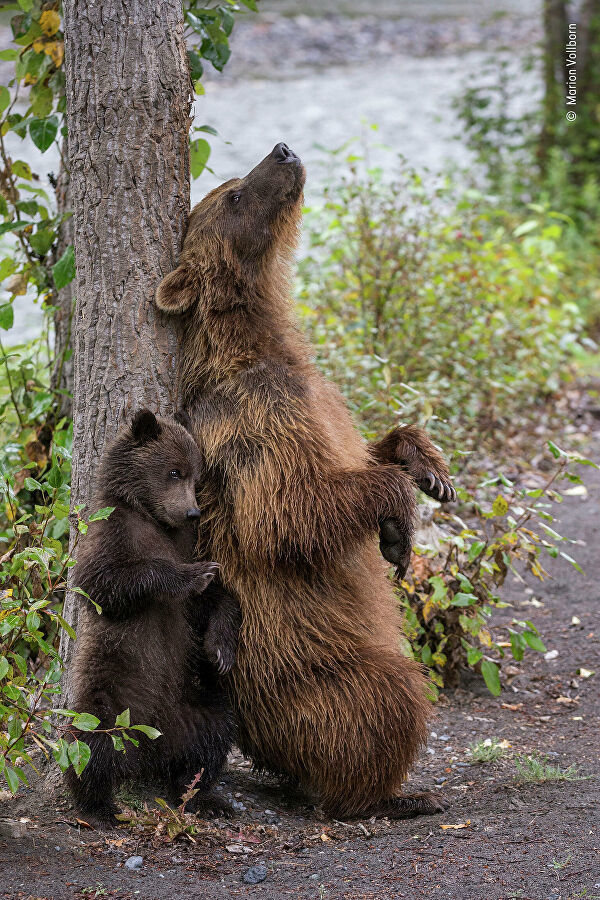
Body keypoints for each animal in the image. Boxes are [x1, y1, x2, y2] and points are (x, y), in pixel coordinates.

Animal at [155, 142, 454, 824]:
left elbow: (367, 449)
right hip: (307, 671)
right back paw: (390, 794)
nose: (282, 150)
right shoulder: (253, 423)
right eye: (235, 194)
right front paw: (397, 522)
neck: (261, 342)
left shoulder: (321, 398)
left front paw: (429, 471)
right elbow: (289, 512)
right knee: (389, 696)